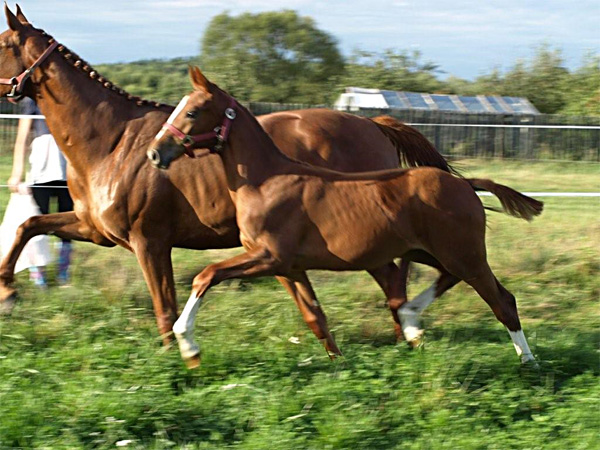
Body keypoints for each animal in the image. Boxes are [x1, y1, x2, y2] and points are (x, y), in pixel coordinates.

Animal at [150, 68, 544, 368]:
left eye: (192, 112)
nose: (155, 153)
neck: (265, 182)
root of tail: (465, 184)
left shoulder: (268, 257)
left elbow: (206, 275)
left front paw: (189, 347)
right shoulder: (289, 267)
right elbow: (314, 314)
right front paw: (337, 363)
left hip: (464, 254)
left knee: (503, 300)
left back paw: (528, 362)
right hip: (434, 253)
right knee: (446, 280)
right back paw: (411, 322)